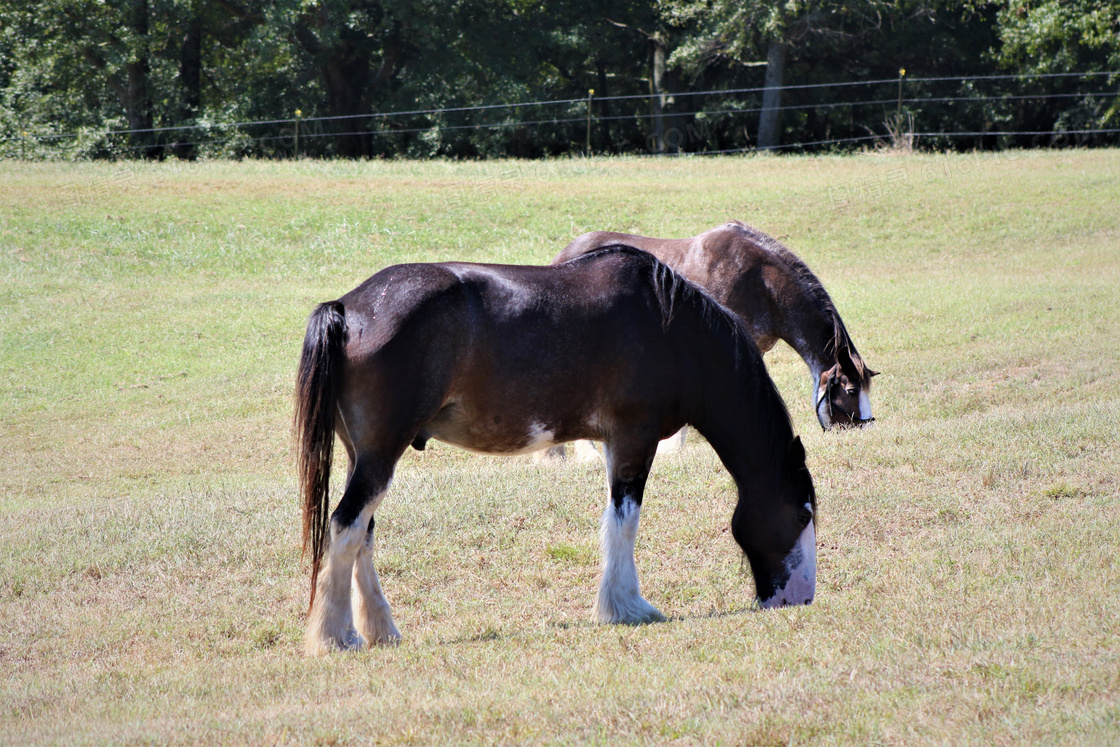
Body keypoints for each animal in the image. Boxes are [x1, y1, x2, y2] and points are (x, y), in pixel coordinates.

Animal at [295, 245, 824, 654]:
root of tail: (347, 309)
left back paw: (379, 630)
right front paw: (627, 607)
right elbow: (624, 521)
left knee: (361, 533)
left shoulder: (614, 443)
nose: (800, 599)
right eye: (802, 515)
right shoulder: (634, 439)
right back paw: (336, 638)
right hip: (381, 456)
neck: (671, 327)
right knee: (345, 526)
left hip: (364, 458)